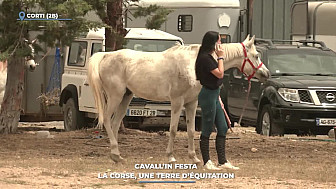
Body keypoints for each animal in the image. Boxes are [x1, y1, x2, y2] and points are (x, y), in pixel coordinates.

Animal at [87, 34, 270, 163]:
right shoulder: (177, 102)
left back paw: (116, 155)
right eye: (256, 55)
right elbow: (173, 129)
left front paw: (194, 158)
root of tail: (106, 56)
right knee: (107, 121)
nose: (266, 74)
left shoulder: (191, 103)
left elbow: (190, 130)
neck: (193, 64)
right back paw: (115, 153)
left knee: (115, 123)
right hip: (115, 97)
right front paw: (170, 156)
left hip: (126, 97)